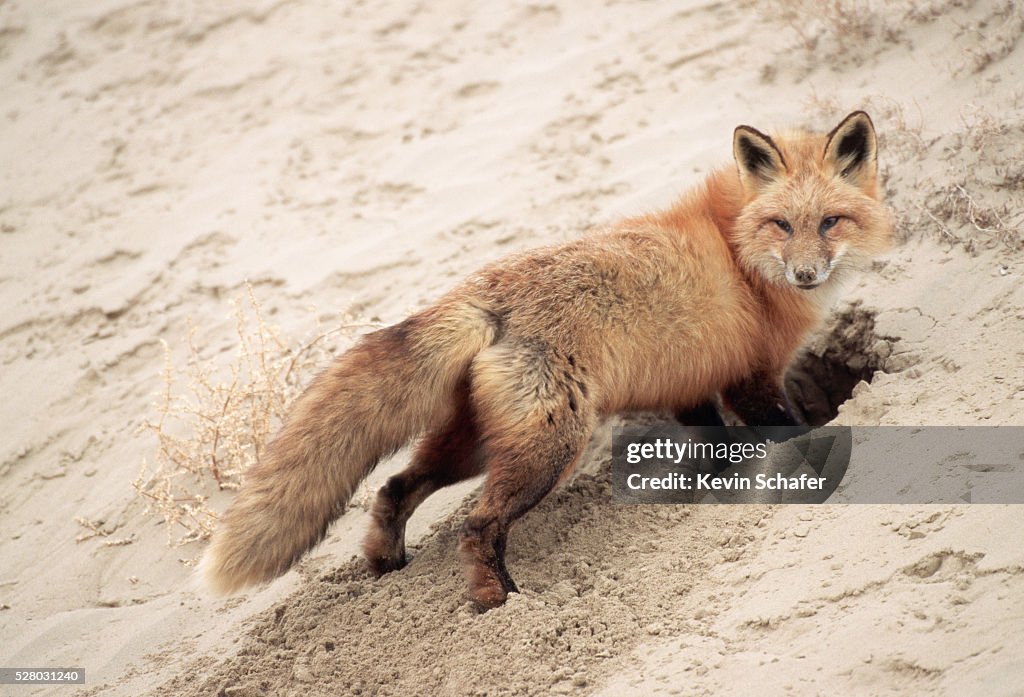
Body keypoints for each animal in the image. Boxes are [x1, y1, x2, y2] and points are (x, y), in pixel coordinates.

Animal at [200, 111, 893, 609]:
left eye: (830, 222)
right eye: (782, 224)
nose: (805, 274)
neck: (737, 253)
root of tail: (485, 292)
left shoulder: (693, 382)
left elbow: (714, 444)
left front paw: (711, 490)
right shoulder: (750, 380)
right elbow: (794, 433)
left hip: (478, 443)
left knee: (396, 488)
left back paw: (387, 562)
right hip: (548, 448)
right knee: (476, 526)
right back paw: (501, 602)